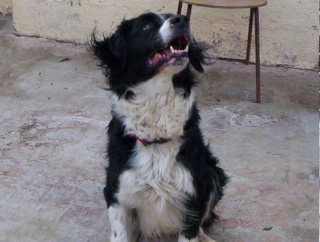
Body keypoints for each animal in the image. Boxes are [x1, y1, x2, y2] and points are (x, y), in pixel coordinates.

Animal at [91, 12, 229, 242]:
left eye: (174, 16)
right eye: (146, 26)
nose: (181, 19)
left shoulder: (195, 191)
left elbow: (191, 231)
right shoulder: (116, 189)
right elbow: (119, 233)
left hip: (214, 172)